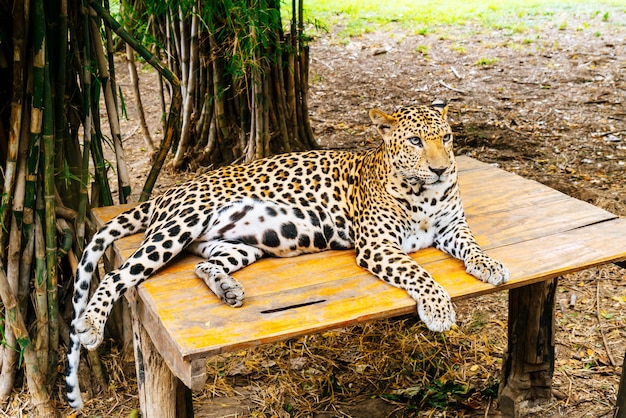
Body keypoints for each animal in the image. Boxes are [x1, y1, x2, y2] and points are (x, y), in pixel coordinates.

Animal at [66, 99, 510, 408]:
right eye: (416, 141)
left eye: (446, 138)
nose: (441, 169)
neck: (425, 194)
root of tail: (167, 192)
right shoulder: (378, 245)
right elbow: (418, 272)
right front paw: (438, 309)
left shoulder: (453, 226)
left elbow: (472, 244)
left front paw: (490, 265)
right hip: (178, 228)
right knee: (118, 274)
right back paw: (91, 324)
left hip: (240, 244)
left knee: (204, 265)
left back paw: (228, 290)